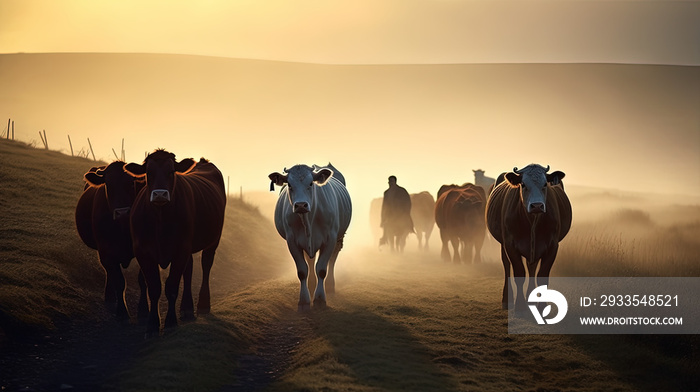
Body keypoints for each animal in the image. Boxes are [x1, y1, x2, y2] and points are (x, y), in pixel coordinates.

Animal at [75, 161, 146, 320]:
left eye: (131, 183)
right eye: (108, 184)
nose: (122, 212)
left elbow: (143, 280)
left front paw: (144, 310)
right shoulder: (107, 251)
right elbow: (119, 282)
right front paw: (122, 312)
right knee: (109, 272)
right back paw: (110, 295)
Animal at [125, 151, 224, 336]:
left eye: (171, 172)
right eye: (148, 172)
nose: (159, 194)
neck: (160, 219)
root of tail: (203, 162)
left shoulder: (180, 251)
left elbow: (171, 287)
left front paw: (170, 322)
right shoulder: (143, 252)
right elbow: (154, 287)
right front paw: (152, 325)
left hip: (213, 240)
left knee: (206, 265)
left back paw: (202, 305)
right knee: (189, 269)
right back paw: (186, 308)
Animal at [270, 162, 352, 310]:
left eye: (311, 183)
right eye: (289, 184)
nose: (301, 205)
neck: (308, 219)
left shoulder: (330, 239)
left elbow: (322, 269)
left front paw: (320, 299)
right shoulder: (292, 241)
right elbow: (302, 271)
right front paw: (304, 300)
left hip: (339, 238)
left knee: (332, 259)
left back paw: (330, 285)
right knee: (310, 261)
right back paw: (312, 284)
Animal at [486, 164, 568, 310]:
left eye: (545, 184)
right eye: (523, 184)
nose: (537, 206)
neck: (533, 221)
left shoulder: (552, 246)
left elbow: (542, 276)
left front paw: (542, 306)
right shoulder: (510, 245)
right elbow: (519, 273)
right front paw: (520, 306)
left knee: (532, 268)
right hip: (503, 244)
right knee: (507, 266)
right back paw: (507, 300)